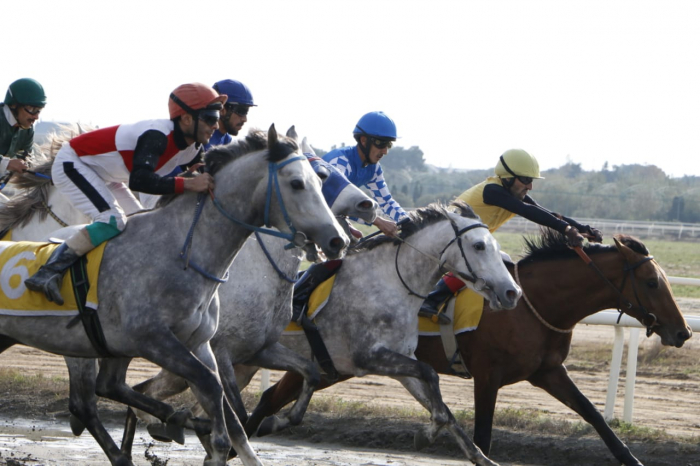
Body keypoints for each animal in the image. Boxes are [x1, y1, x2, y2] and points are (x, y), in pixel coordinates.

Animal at [0, 124, 348, 466]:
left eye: (319, 181)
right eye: (297, 183)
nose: (338, 240)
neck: (181, 251)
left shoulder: (200, 342)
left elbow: (239, 405)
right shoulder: (155, 340)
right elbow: (213, 389)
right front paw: (208, 438)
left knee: (106, 386)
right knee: (89, 400)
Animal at [245, 233, 688, 466]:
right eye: (652, 282)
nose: (682, 331)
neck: (532, 303)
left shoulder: (547, 372)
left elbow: (594, 415)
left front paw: (631, 458)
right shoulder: (487, 377)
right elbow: (483, 435)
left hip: (335, 367)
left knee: (269, 398)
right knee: (269, 398)